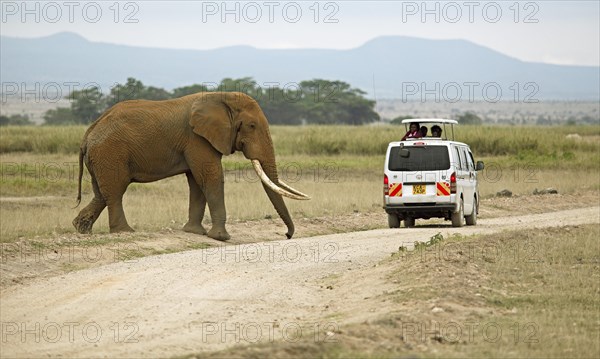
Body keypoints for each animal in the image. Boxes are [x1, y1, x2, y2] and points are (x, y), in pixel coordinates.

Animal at [71, 91, 310, 240]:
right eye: (251, 126)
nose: (287, 235)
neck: (221, 96)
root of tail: (87, 134)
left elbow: (197, 182)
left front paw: (194, 232)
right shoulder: (197, 139)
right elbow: (210, 177)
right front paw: (221, 238)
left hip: (101, 158)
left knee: (101, 193)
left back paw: (82, 230)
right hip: (110, 154)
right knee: (115, 191)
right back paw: (125, 232)